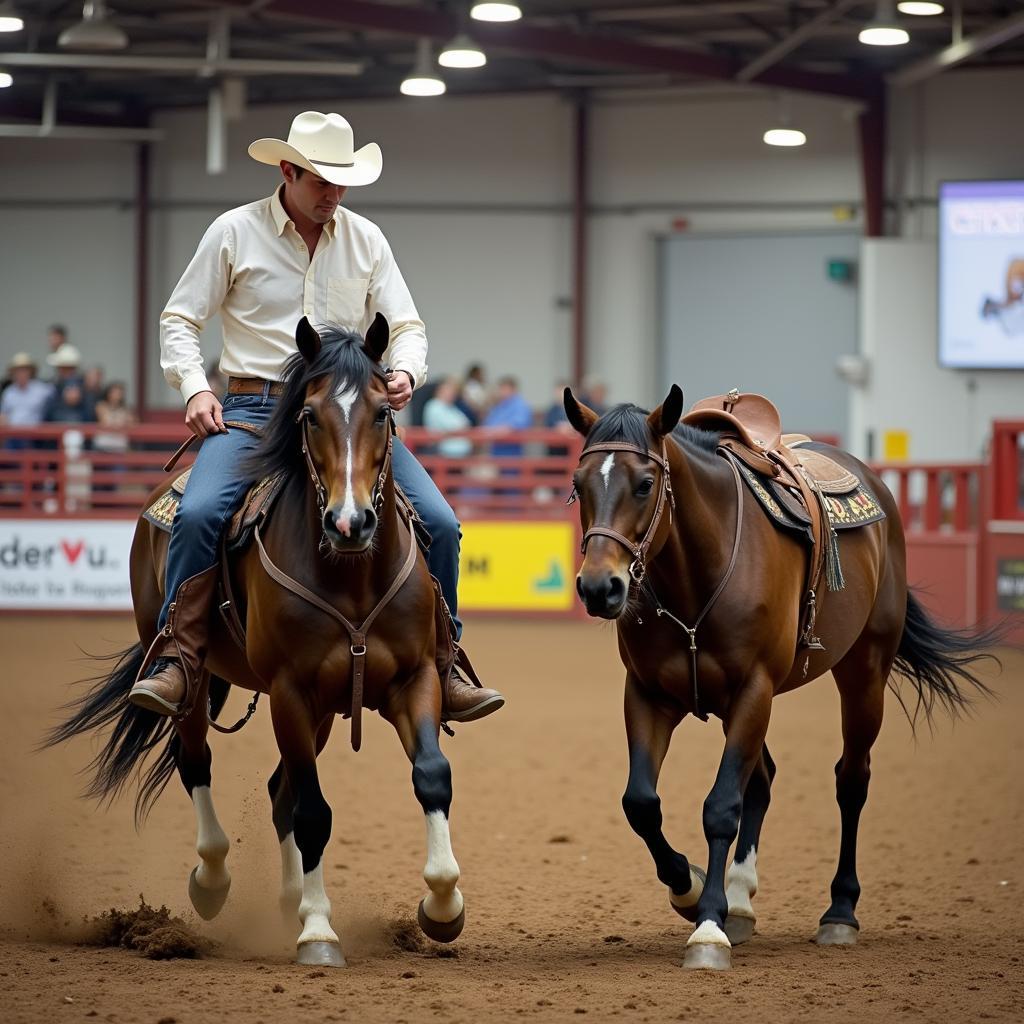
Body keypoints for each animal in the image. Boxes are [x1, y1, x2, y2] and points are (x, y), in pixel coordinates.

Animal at [47, 317, 464, 966]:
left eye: (383, 412)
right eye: (310, 415)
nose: (350, 522)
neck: (353, 572)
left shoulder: (412, 679)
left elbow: (431, 774)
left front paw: (442, 908)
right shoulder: (290, 691)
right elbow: (314, 810)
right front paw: (319, 932)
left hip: (324, 709)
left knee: (278, 789)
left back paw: (290, 897)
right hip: (195, 680)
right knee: (196, 760)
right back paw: (213, 881)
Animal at [565, 382, 995, 966]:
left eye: (645, 484)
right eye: (578, 484)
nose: (598, 587)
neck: (696, 577)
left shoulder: (755, 689)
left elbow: (721, 805)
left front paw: (708, 927)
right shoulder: (649, 695)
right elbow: (641, 804)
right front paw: (691, 889)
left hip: (864, 672)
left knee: (851, 780)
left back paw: (839, 911)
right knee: (763, 780)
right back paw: (742, 900)